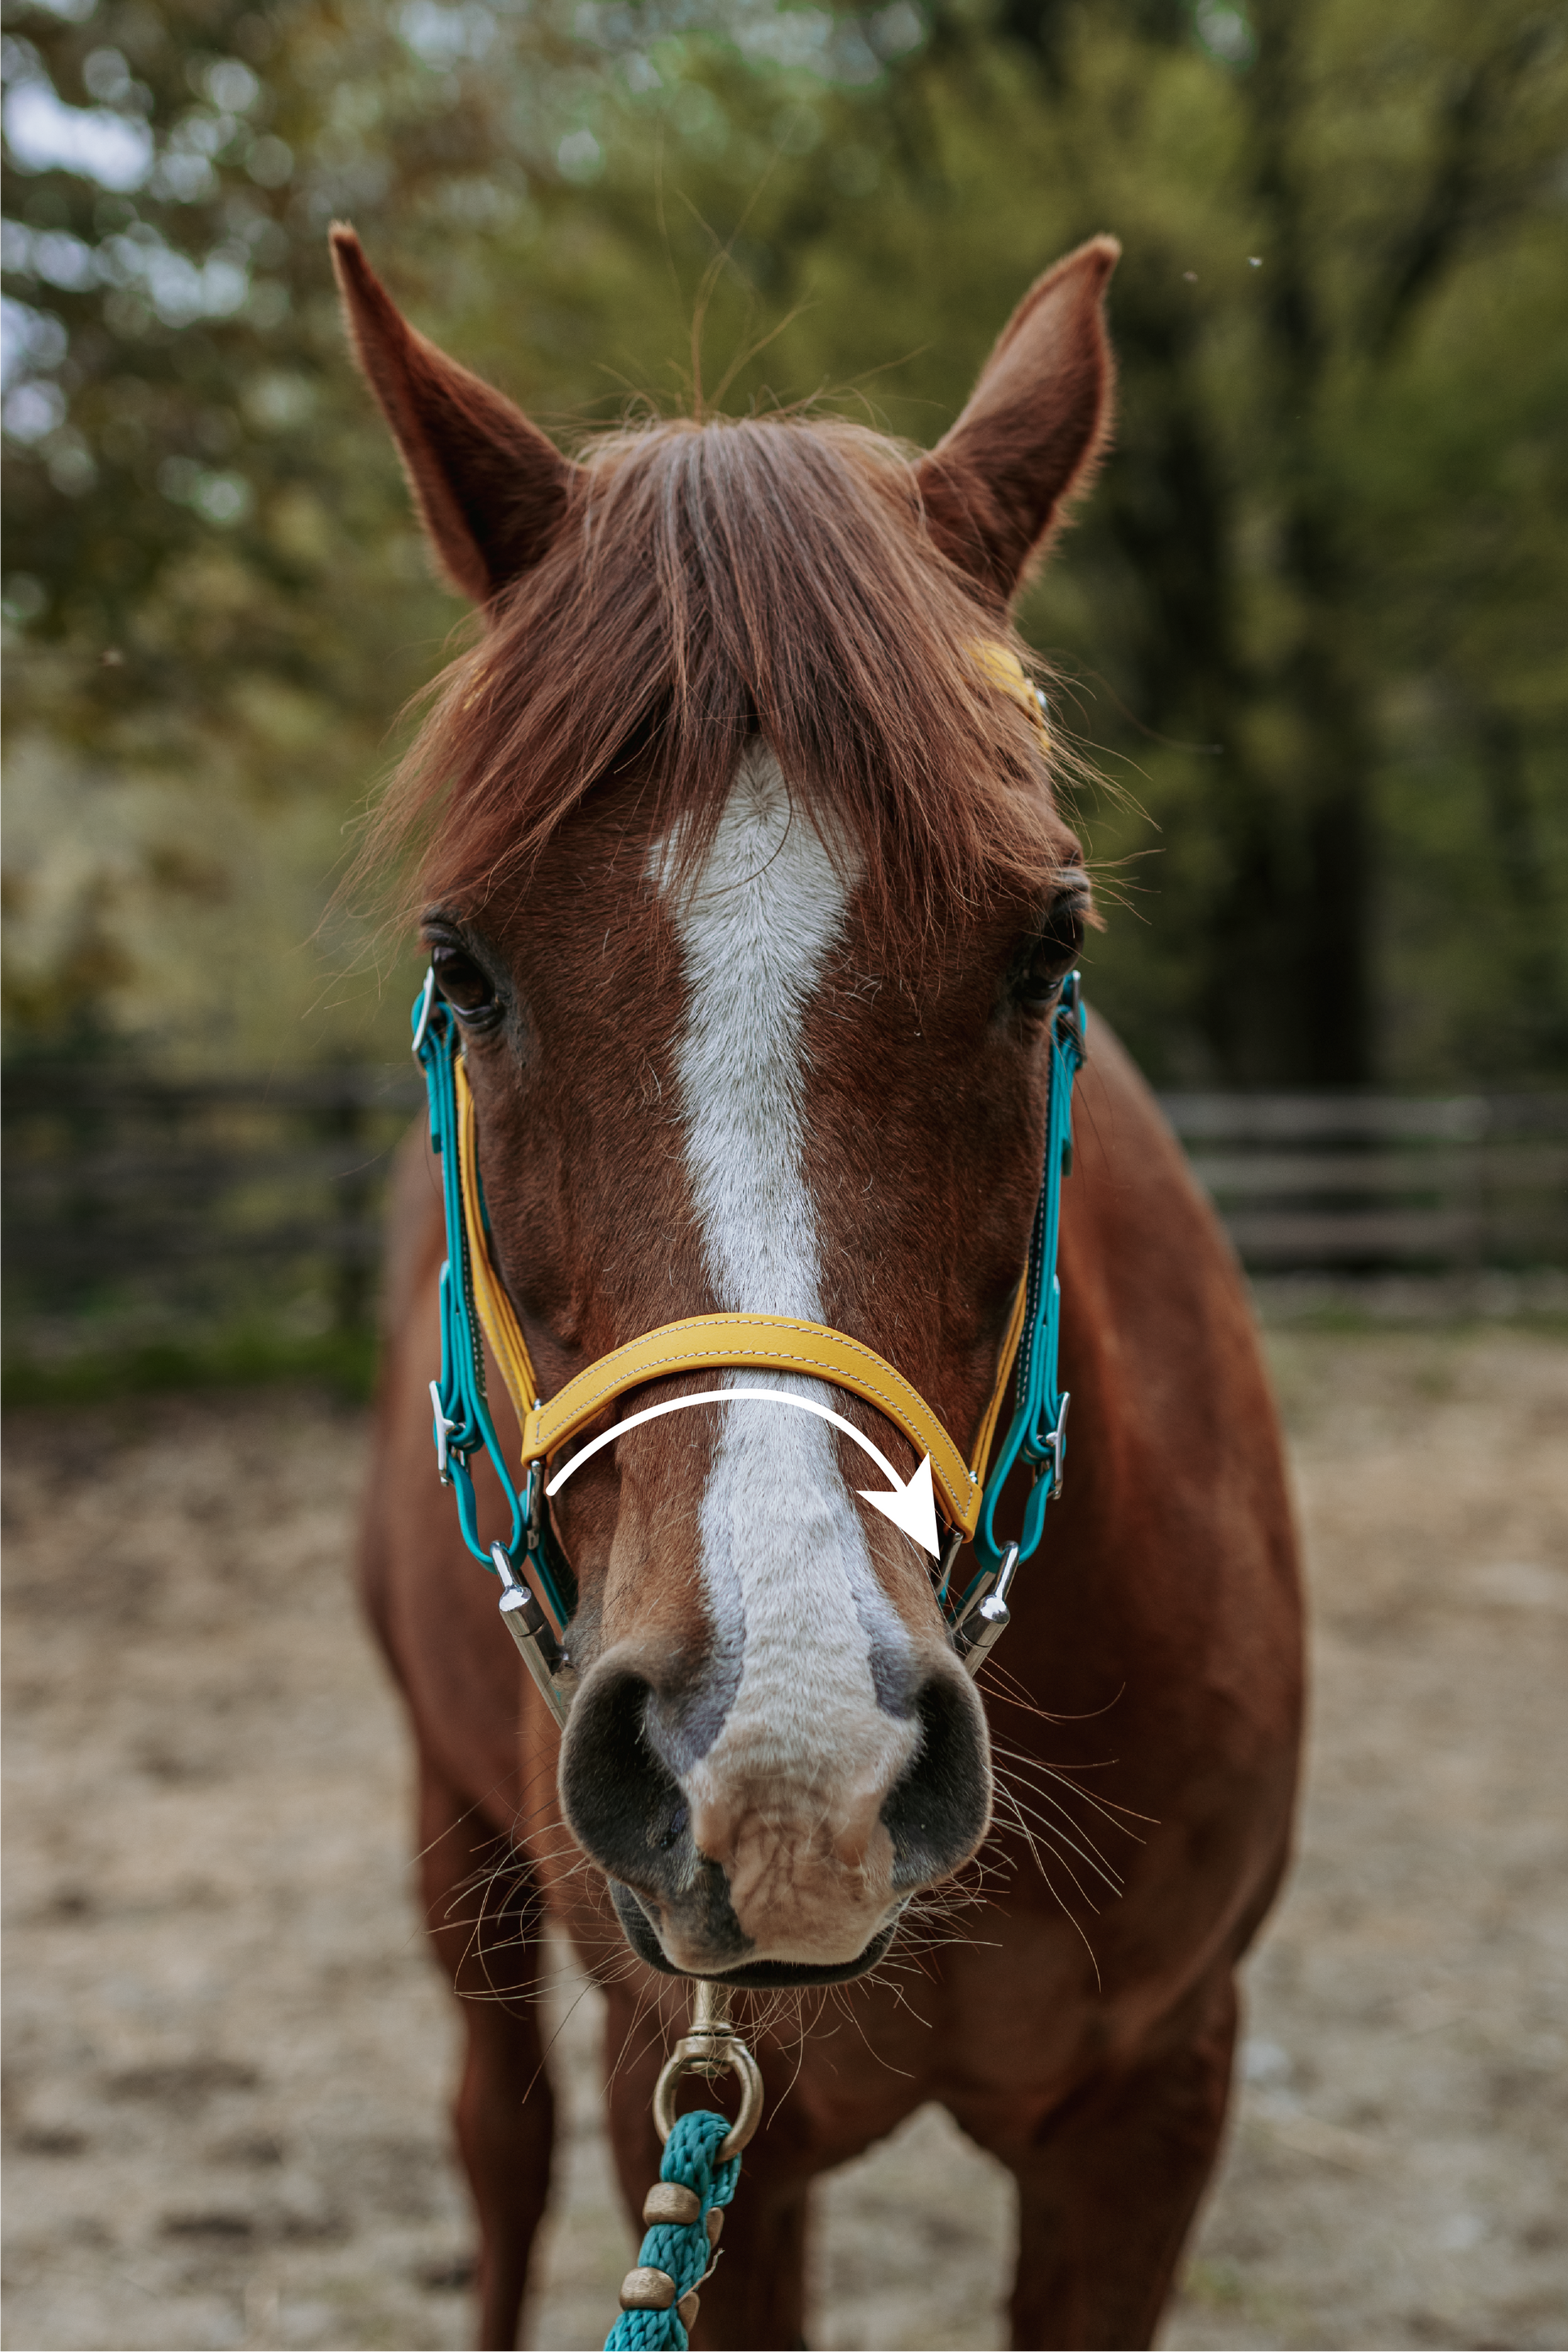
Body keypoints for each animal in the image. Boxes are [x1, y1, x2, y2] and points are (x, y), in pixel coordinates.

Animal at [338, 221, 1303, 2352]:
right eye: (463, 961)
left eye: (1049, 943)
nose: (783, 1755)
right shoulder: (690, 2099)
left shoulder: (1157, 2099)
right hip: (455, 1844)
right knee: (490, 2142)